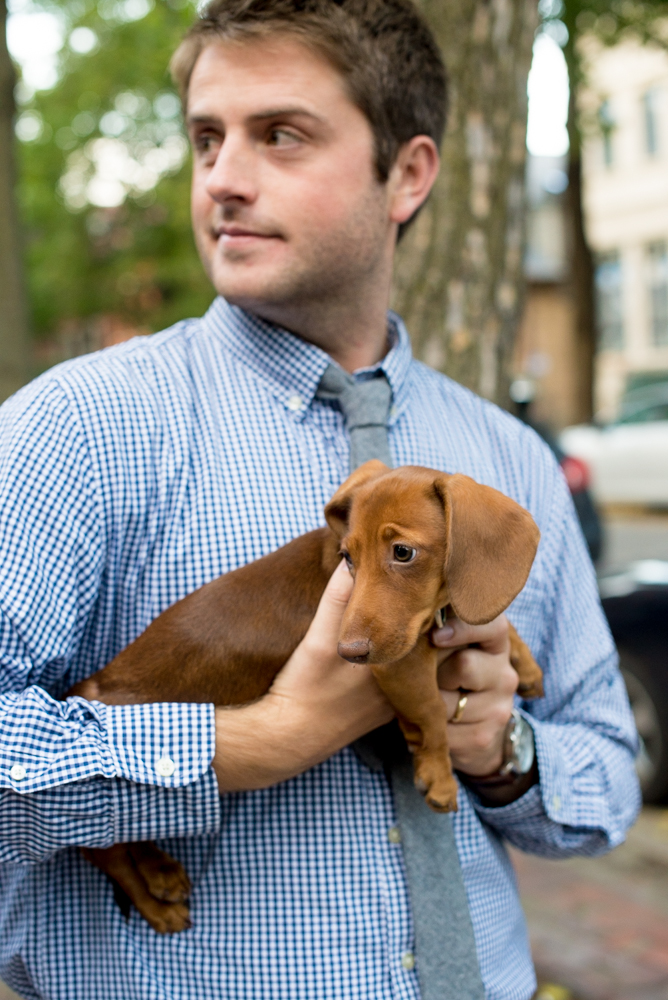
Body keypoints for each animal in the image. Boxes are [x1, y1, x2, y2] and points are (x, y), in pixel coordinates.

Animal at [70, 460, 544, 928]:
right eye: (347, 558)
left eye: (403, 552)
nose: (347, 652)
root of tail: (84, 688)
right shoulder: (400, 663)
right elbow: (429, 713)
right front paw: (440, 776)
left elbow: (499, 630)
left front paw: (527, 667)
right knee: (108, 854)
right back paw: (157, 903)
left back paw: (160, 870)